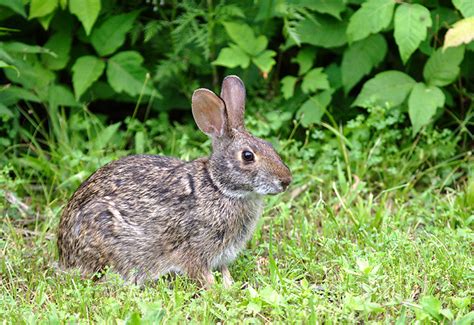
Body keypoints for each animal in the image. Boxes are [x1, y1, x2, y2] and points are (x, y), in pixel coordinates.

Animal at [57, 75, 290, 286]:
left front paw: (229, 285)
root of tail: (63, 254)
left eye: (269, 145)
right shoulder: (194, 248)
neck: (218, 186)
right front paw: (218, 290)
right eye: (248, 156)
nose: (286, 180)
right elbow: (200, 273)